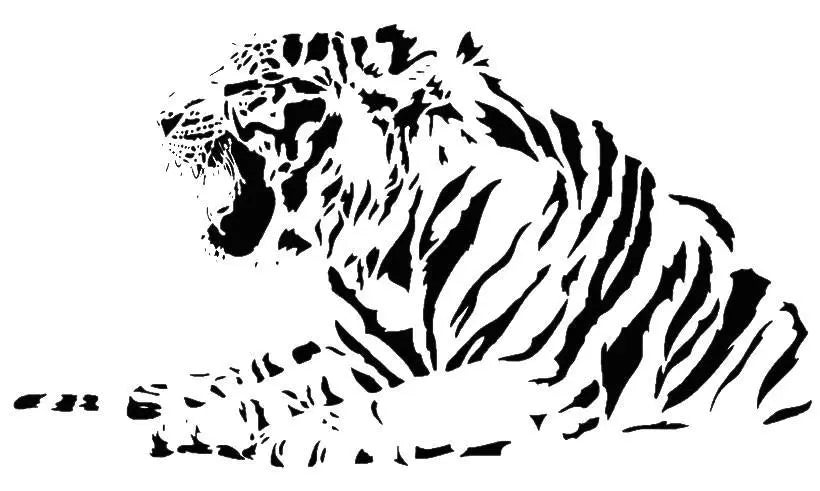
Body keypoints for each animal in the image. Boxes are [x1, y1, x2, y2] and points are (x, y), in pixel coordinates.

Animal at [13, 25, 812, 467]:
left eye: (249, 84)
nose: (159, 118)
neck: (385, 241)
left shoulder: (538, 374)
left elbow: (398, 405)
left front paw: (295, 439)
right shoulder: (372, 355)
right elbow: (275, 386)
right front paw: (200, 423)